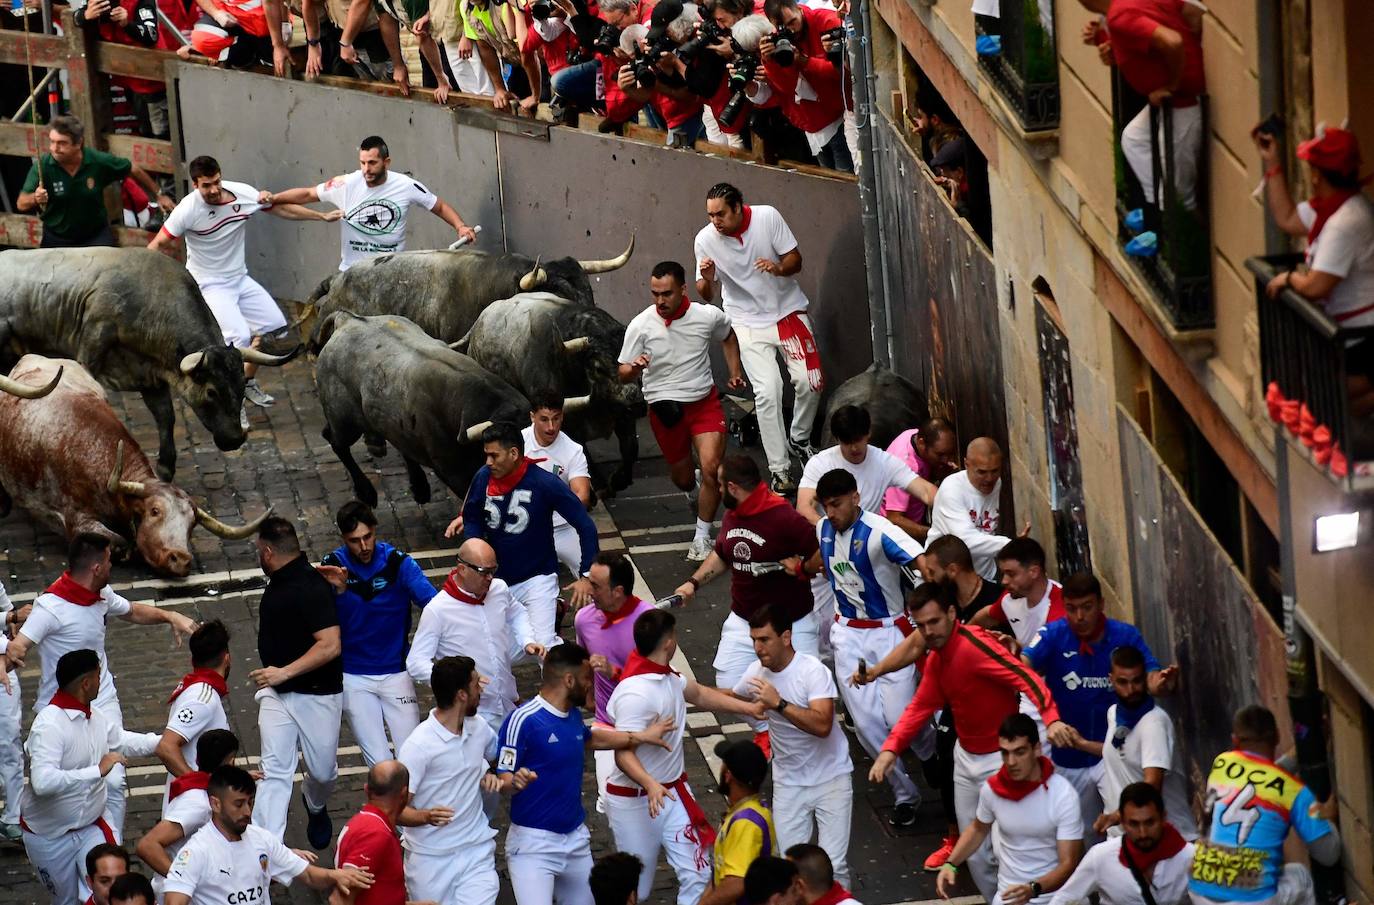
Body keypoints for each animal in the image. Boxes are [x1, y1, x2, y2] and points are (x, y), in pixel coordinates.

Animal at [0, 244, 292, 477]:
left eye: (242, 386)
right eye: (211, 391)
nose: (233, 439)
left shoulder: (151, 379)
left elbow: (166, 417)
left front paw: (165, 467)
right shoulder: (91, 348)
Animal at [313, 314, 530, 505]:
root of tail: (347, 319)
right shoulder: (455, 471)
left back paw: (419, 487)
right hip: (344, 422)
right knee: (335, 442)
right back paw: (366, 492)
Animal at [450, 293, 643, 494]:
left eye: (637, 362)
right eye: (598, 367)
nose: (637, 404)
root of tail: (478, 323)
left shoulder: (623, 415)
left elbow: (630, 447)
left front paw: (619, 480)